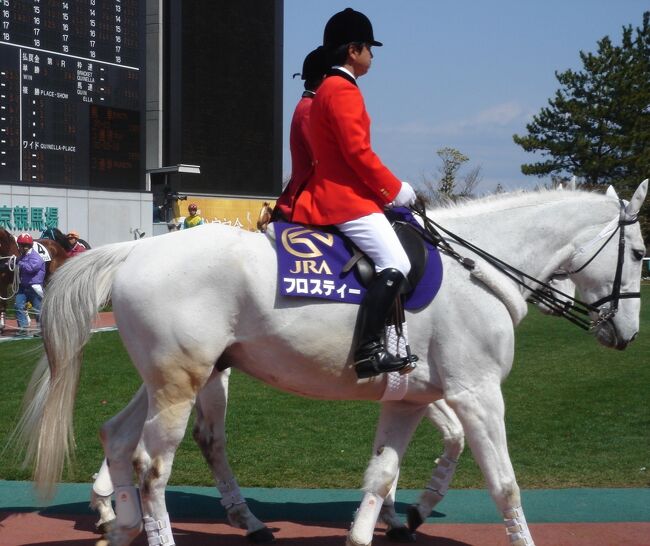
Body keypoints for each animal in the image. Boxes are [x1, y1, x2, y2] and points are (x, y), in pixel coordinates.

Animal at [13, 183, 644, 544]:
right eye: (640, 252)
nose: (629, 334)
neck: (479, 270)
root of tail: (135, 249)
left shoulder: (413, 398)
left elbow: (382, 476)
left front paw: (390, 521)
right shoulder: (477, 394)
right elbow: (506, 486)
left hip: (175, 377)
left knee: (118, 438)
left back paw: (121, 523)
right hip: (180, 383)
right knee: (153, 466)